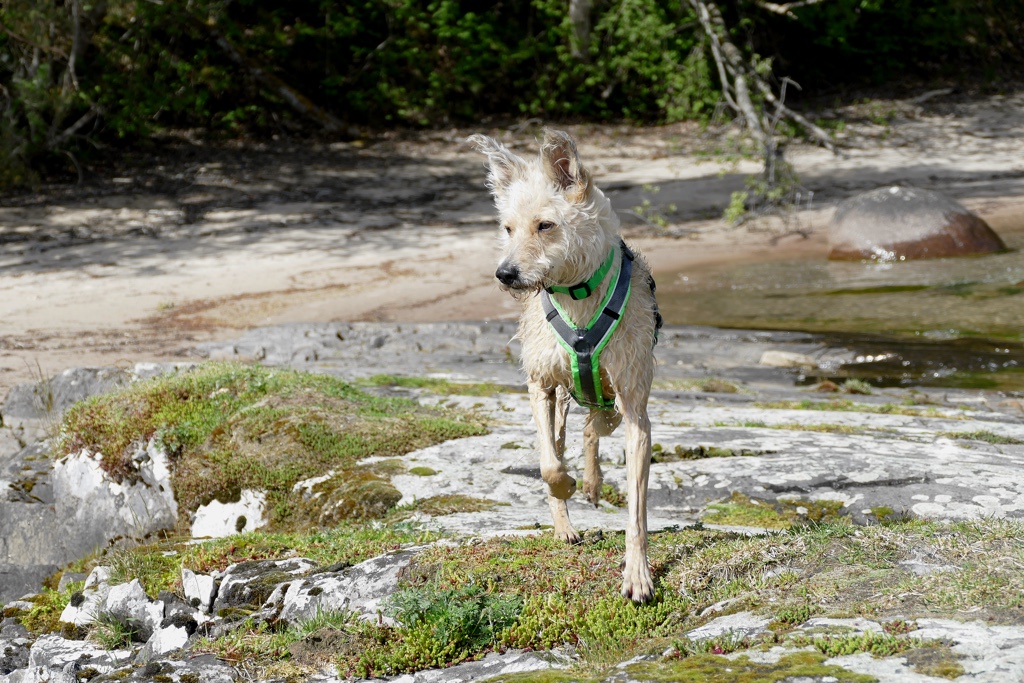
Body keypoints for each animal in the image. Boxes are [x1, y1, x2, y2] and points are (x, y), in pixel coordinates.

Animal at [469, 129, 661, 602]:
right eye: (507, 228)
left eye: (545, 225)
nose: (504, 274)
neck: (578, 293)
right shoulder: (540, 385)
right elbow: (549, 465)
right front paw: (566, 487)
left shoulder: (635, 406)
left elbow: (637, 511)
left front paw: (638, 573)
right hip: (563, 401)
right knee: (562, 441)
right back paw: (566, 521)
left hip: (612, 404)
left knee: (594, 429)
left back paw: (592, 481)